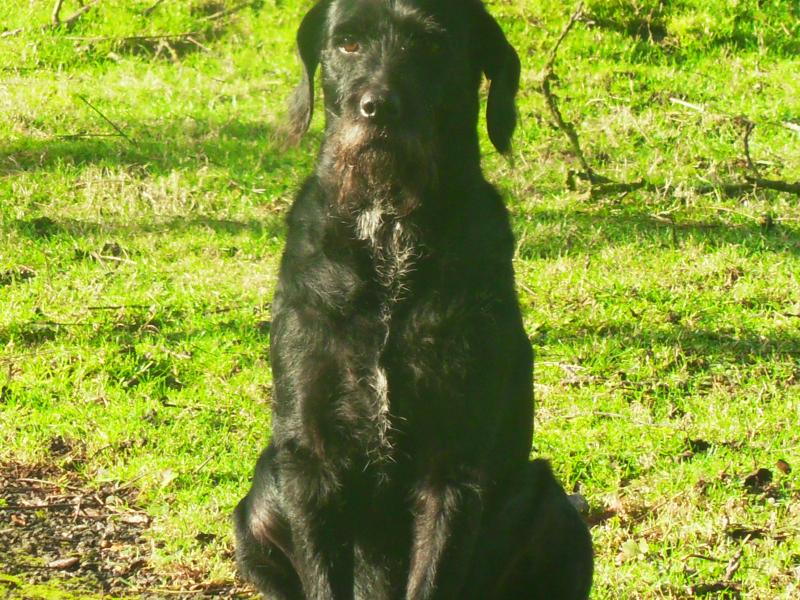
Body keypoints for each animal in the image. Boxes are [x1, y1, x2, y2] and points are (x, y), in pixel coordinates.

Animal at [234, 1, 593, 598]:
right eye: (348, 42)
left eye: (431, 45)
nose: (377, 108)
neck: (388, 234)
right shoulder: (310, 462)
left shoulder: (453, 468)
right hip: (260, 501)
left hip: (556, 512)